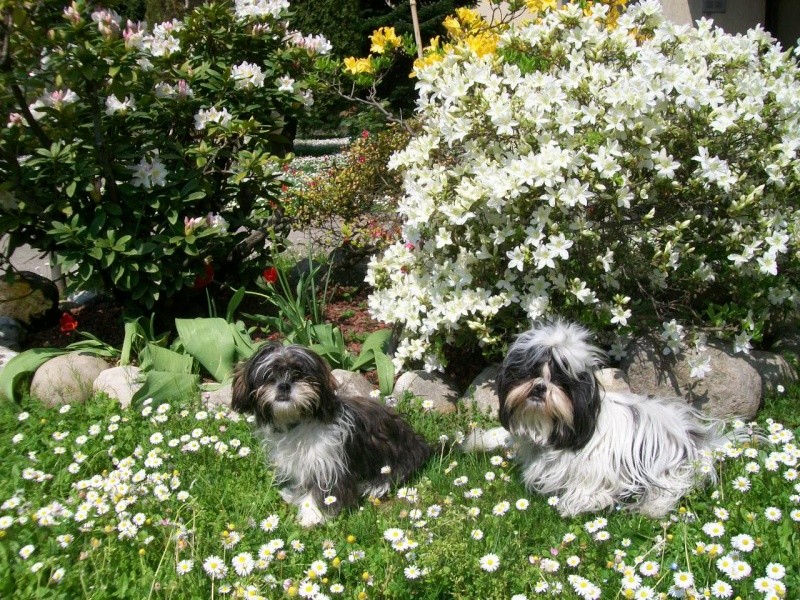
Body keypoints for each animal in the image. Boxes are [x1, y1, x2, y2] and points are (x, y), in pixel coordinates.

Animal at [231, 342, 432, 524]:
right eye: (269, 376)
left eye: (299, 374)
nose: (284, 385)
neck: (297, 421)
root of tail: (419, 443)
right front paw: (295, 496)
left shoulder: (328, 463)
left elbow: (324, 490)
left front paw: (312, 515)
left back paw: (374, 486)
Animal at [466, 322, 760, 516]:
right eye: (529, 373)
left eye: (561, 382)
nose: (540, 387)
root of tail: (699, 437)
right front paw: (477, 441)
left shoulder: (600, 469)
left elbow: (590, 488)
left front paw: (577, 504)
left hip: (668, 468)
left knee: (672, 487)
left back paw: (653, 507)